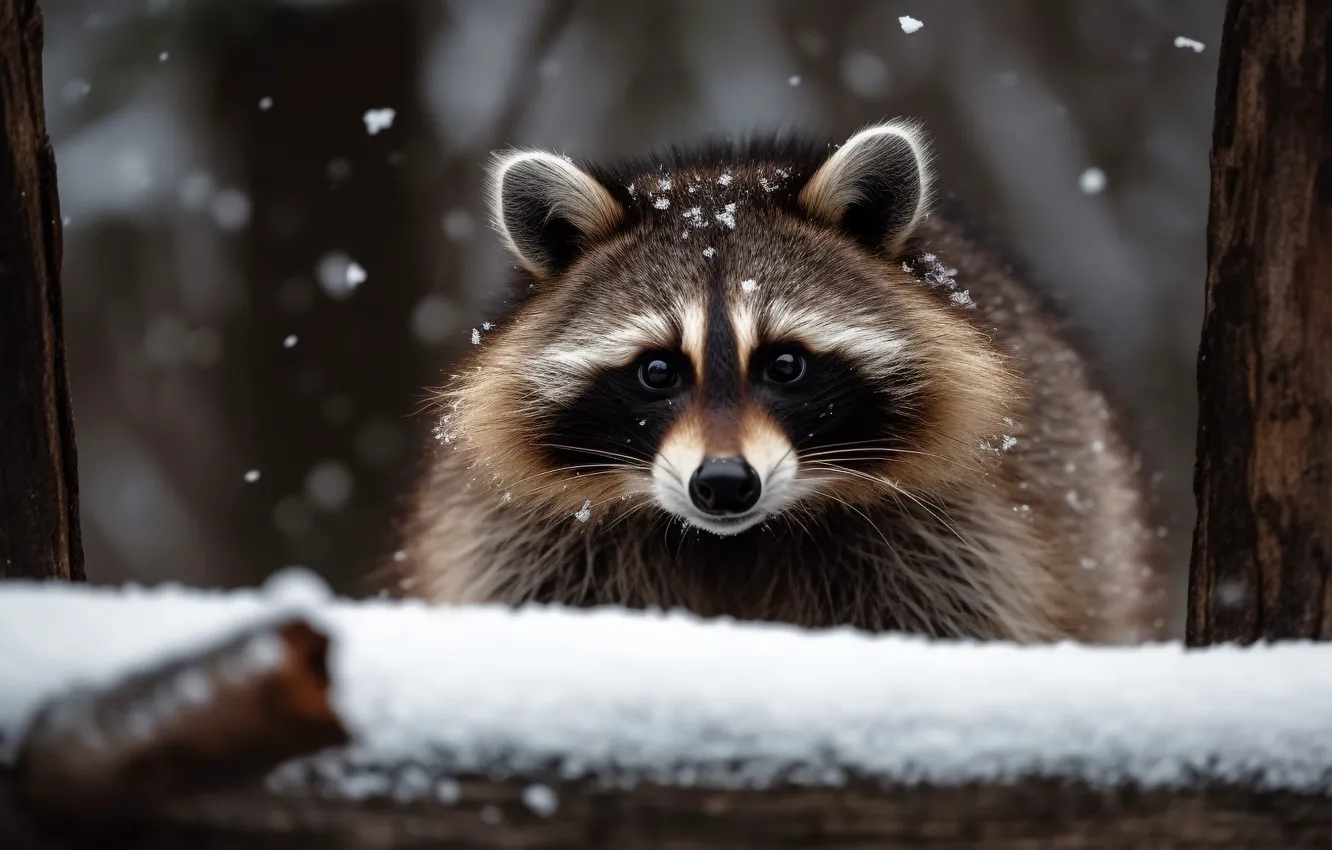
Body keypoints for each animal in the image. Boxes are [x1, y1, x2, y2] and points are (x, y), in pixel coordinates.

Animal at [396, 120, 1166, 643]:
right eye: (657, 370)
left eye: (785, 364)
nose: (723, 484)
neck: (734, 539)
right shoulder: (528, 541)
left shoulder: (957, 537)